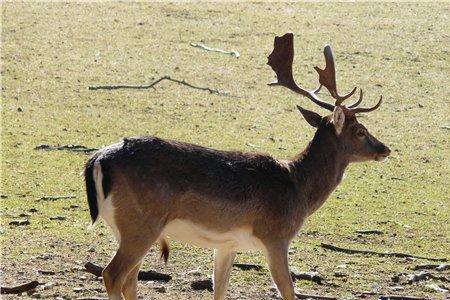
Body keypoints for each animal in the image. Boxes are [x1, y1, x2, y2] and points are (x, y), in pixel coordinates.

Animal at [83, 32, 390, 300]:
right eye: (361, 131)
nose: (385, 149)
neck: (298, 187)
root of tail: (97, 160)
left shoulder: (227, 245)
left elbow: (220, 289)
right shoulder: (275, 236)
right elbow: (288, 291)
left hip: (127, 228)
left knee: (129, 279)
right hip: (141, 223)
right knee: (112, 274)